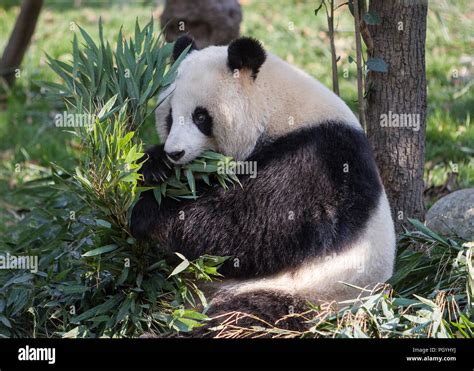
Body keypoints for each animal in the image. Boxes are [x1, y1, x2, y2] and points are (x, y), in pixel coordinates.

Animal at [131, 35, 396, 334]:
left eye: (200, 117)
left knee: (244, 318)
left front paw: (148, 213)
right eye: (170, 116)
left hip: (314, 292)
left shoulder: (316, 159)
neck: (276, 107)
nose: (175, 153)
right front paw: (154, 168)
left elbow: (253, 225)